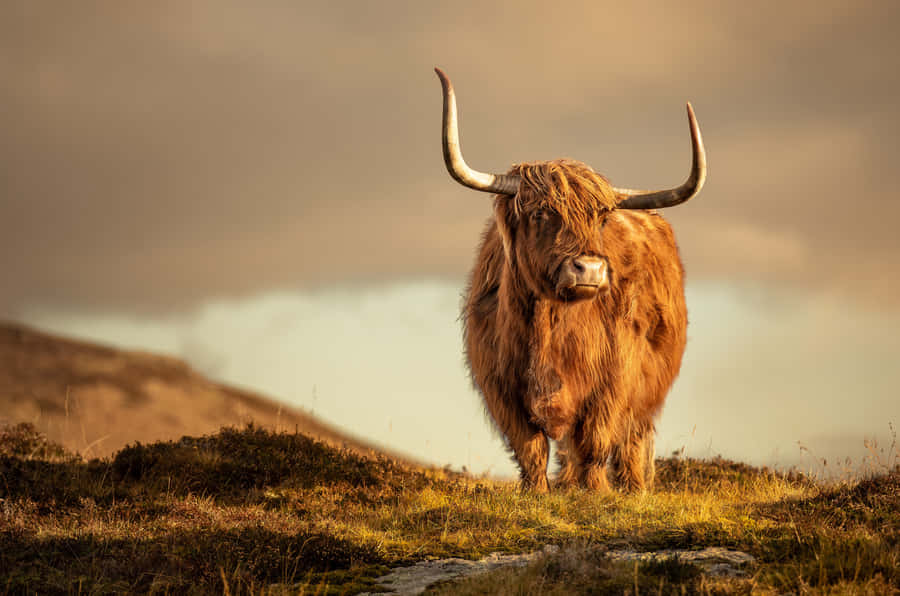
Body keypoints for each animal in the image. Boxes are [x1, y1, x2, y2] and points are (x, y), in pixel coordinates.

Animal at [435, 68, 707, 493]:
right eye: (540, 213)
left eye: (600, 218)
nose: (589, 269)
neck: (549, 326)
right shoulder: (501, 387)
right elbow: (530, 448)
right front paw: (537, 492)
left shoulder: (614, 380)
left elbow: (595, 440)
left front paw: (596, 493)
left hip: (647, 394)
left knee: (631, 440)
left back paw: (633, 488)